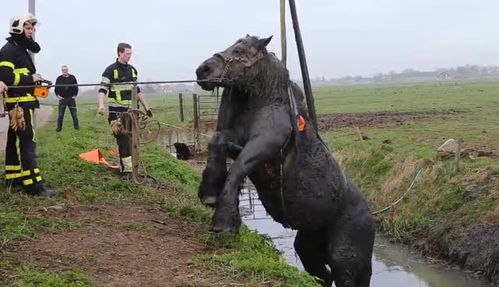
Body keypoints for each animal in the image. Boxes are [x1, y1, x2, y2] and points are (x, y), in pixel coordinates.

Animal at [195, 36, 376, 287]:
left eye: (240, 51)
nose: (202, 70)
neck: (266, 104)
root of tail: (371, 216)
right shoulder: (235, 142)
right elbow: (217, 141)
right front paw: (210, 193)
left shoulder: (265, 146)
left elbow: (238, 168)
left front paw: (224, 220)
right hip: (308, 244)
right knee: (322, 274)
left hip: (344, 257)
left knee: (342, 275)